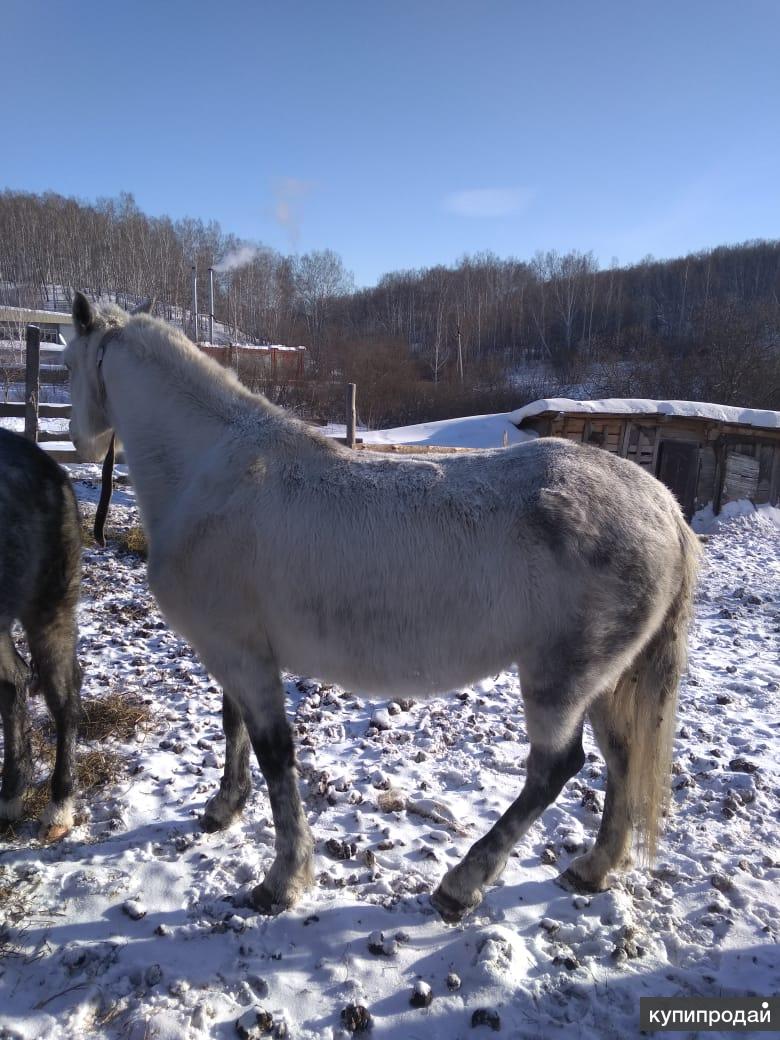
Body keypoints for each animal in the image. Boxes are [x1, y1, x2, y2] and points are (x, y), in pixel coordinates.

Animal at [65, 293, 703, 919]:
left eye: (68, 359)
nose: (77, 440)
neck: (208, 471)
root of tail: (667, 509)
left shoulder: (244, 658)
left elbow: (275, 754)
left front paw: (283, 879)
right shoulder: (237, 651)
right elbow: (234, 726)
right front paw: (223, 809)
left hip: (561, 681)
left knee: (555, 770)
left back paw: (462, 884)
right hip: (605, 683)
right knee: (622, 760)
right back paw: (592, 869)